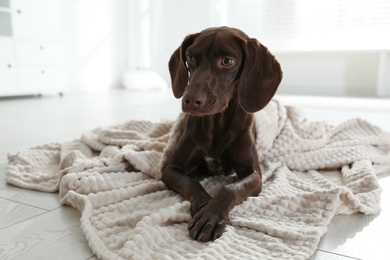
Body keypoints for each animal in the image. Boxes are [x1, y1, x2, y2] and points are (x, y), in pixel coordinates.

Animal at [160, 26, 282, 242]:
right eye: (190, 57)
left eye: (227, 61)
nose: (190, 100)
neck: (216, 124)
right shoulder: (170, 168)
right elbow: (193, 183)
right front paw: (203, 205)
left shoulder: (254, 174)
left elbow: (230, 188)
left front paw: (211, 215)